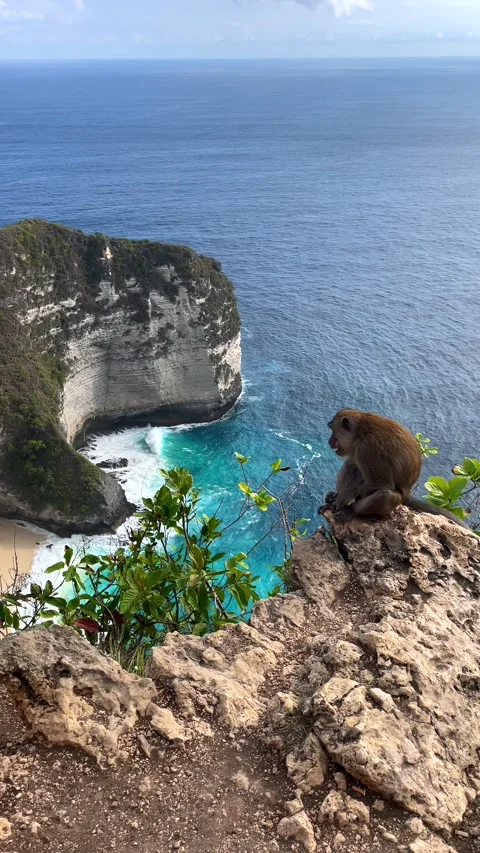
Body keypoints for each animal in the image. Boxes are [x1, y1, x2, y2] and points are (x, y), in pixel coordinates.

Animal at [320, 408, 468, 528]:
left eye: (333, 431)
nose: (329, 441)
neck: (359, 433)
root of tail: (407, 493)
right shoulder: (357, 450)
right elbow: (353, 466)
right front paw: (337, 496)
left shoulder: (367, 450)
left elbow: (383, 483)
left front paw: (346, 495)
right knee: (351, 466)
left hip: (395, 501)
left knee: (385, 495)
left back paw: (352, 511)